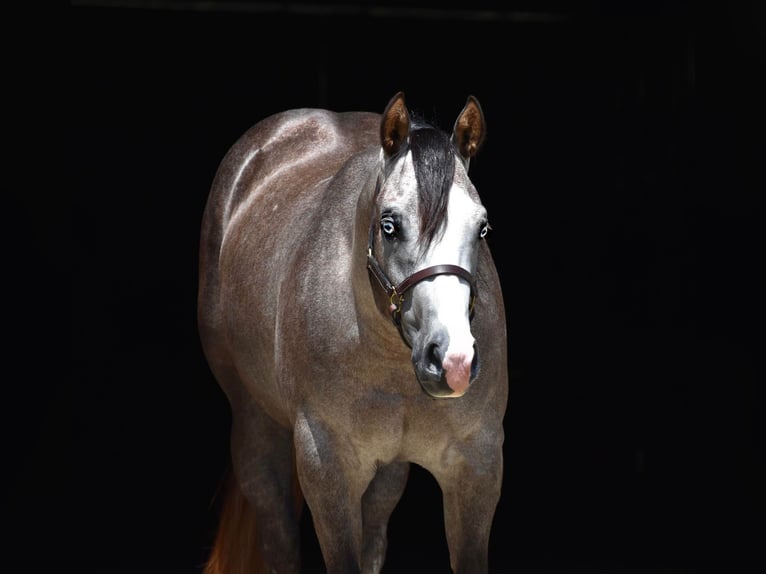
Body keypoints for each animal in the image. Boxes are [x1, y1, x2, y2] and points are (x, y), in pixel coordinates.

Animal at [198, 92, 510, 572]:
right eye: (389, 224)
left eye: (482, 227)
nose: (453, 361)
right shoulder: (327, 466)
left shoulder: (477, 465)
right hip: (254, 426)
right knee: (279, 537)